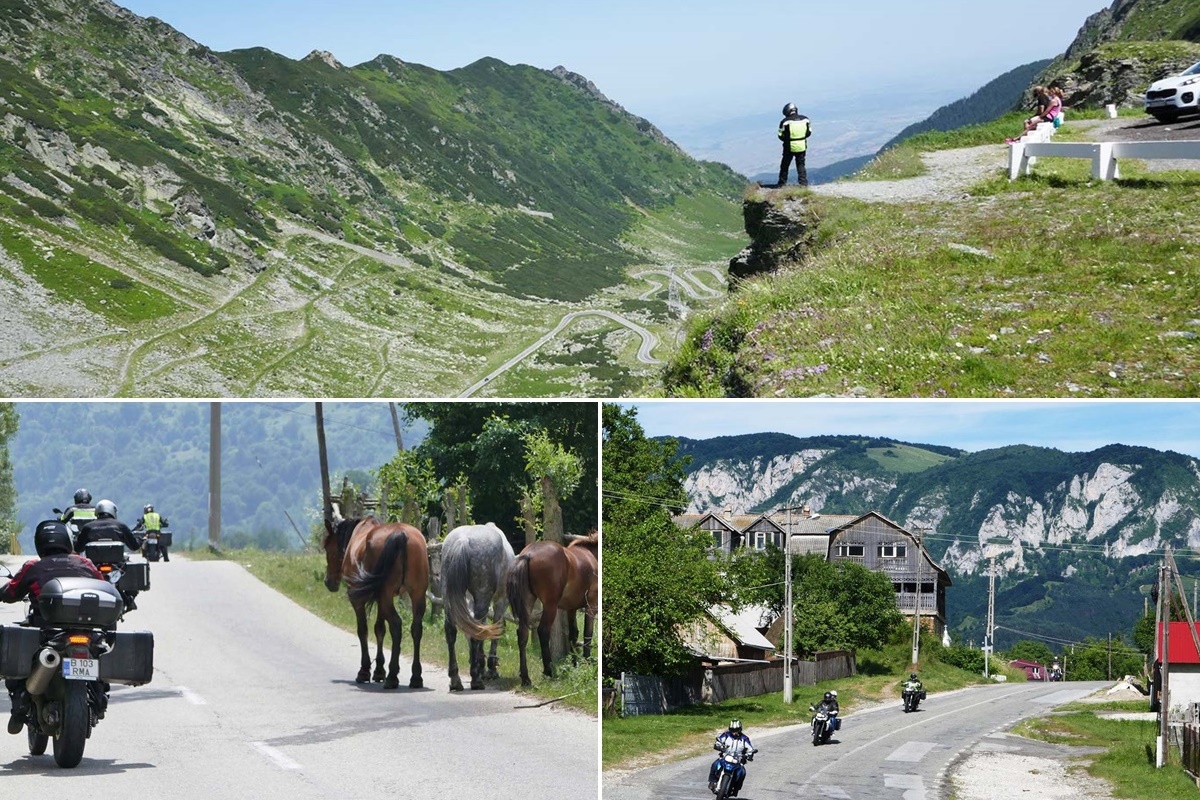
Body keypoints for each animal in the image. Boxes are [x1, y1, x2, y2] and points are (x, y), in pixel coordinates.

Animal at [321, 515, 429, 690]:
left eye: (326, 547)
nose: (328, 582)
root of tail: (401, 534)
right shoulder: (380, 598)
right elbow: (379, 629)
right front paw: (379, 670)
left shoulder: (358, 599)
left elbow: (363, 630)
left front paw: (365, 671)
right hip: (416, 594)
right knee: (416, 629)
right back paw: (416, 677)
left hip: (386, 596)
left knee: (396, 625)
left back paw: (393, 676)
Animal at [506, 534, 600, 686]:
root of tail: (528, 554)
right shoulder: (591, 606)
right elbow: (588, 634)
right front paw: (586, 662)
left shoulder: (571, 609)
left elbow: (573, 634)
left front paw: (575, 664)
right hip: (550, 606)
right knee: (543, 631)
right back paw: (548, 671)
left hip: (528, 603)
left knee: (522, 633)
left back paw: (526, 678)